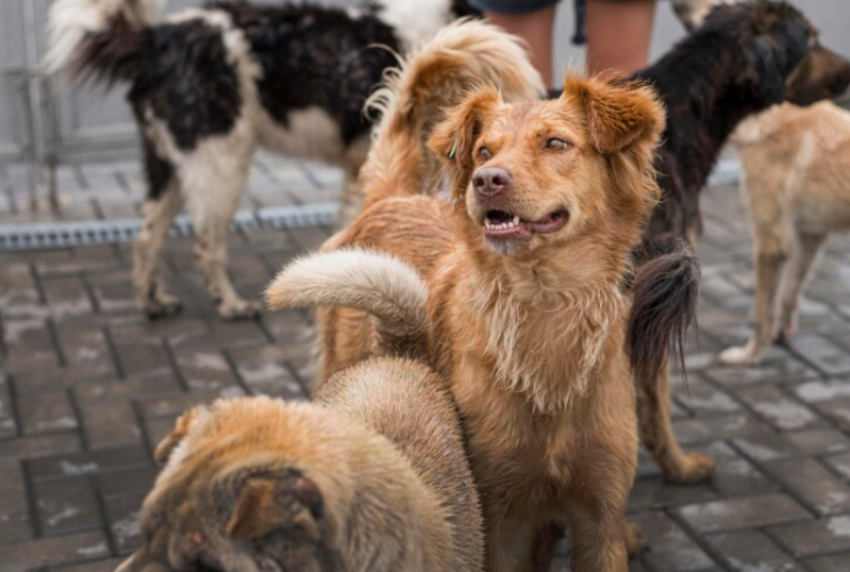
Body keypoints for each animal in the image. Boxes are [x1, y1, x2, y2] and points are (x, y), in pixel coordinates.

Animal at [46, 0, 474, 318]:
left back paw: (152, 303)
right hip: (221, 164)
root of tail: (155, 41)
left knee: (148, 237)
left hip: (168, 165)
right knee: (206, 246)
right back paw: (231, 305)